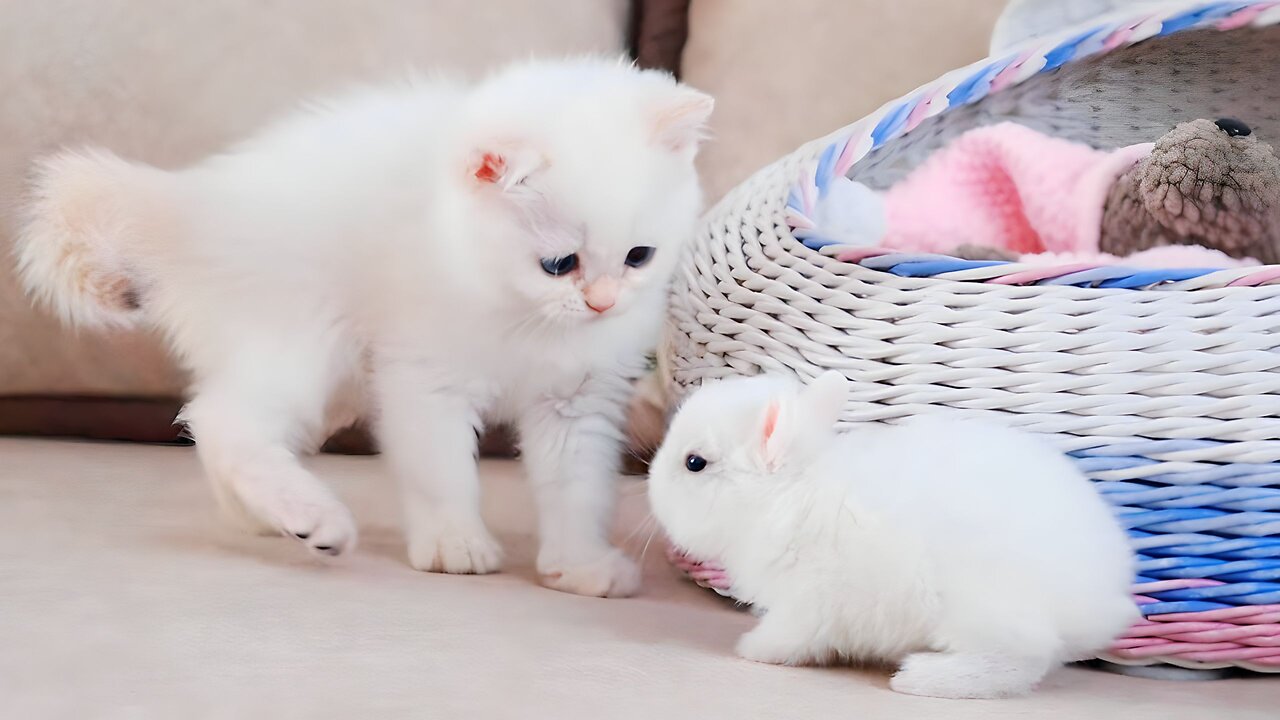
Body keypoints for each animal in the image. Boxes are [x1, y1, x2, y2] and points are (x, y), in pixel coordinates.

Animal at [15, 56, 716, 597]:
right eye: (560, 264)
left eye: (639, 257)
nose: (602, 303)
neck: (519, 311)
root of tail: (192, 203)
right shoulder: (423, 381)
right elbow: (441, 472)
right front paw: (455, 543)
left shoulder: (579, 401)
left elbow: (578, 489)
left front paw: (579, 566)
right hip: (303, 344)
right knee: (222, 420)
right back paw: (313, 517)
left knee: (219, 430)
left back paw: (263, 517)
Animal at [655, 368, 1136, 696]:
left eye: (694, 463)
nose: (652, 488)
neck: (788, 493)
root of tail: (1102, 601)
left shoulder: (806, 604)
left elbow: (790, 638)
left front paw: (752, 648)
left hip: (984, 615)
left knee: (1021, 661)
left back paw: (918, 677)